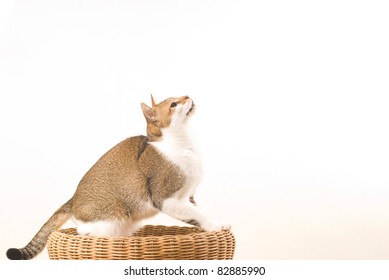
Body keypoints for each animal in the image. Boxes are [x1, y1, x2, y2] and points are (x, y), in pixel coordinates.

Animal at [6, 95, 229, 260]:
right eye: (174, 104)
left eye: (178, 98)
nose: (187, 96)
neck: (182, 145)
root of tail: (72, 199)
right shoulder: (166, 198)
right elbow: (197, 214)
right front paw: (216, 226)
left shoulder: (188, 196)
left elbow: (198, 212)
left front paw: (214, 225)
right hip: (114, 215)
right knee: (85, 233)